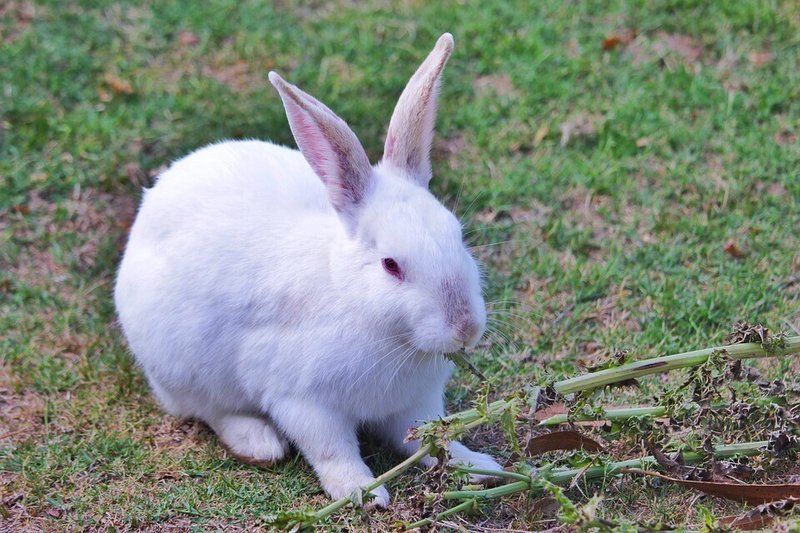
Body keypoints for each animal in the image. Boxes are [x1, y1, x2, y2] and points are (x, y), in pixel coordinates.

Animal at [114, 31, 500, 504]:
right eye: (391, 265)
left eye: (458, 235)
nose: (465, 327)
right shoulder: (303, 402)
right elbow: (333, 450)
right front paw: (362, 492)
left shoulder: (415, 403)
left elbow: (428, 438)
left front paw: (478, 466)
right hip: (181, 367)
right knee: (209, 411)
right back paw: (258, 442)